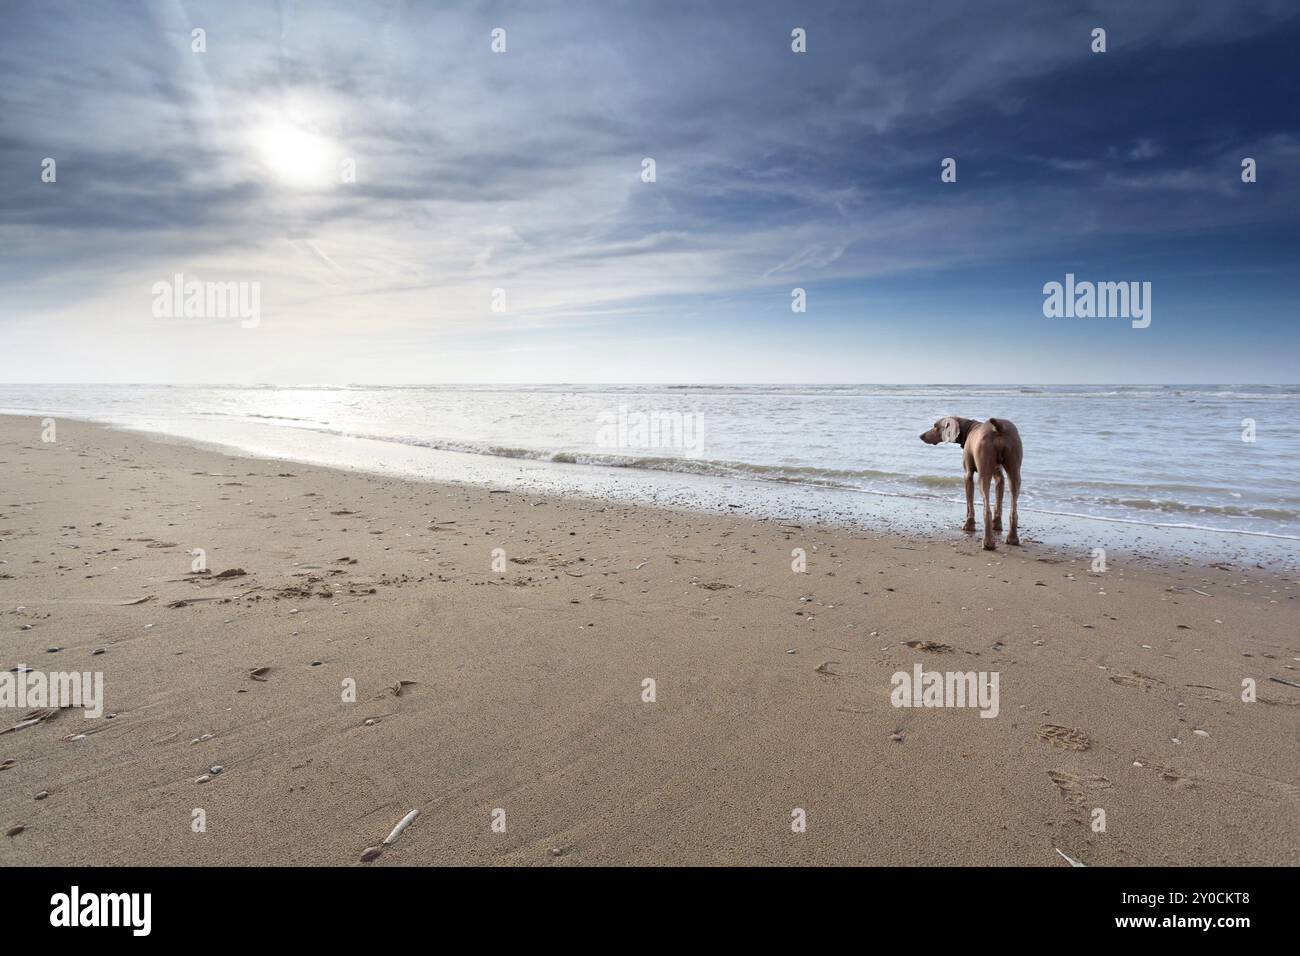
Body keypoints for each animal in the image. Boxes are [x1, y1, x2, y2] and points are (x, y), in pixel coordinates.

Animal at [920, 416, 1019, 548]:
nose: (921, 436)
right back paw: (1013, 538)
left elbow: (969, 503)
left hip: (983, 473)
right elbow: (998, 497)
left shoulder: (968, 474)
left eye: (936, 426)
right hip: (1014, 470)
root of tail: (998, 427)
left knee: (986, 509)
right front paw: (997, 525)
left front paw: (969, 525)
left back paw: (988, 543)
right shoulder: (998, 474)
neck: (969, 428)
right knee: (1014, 507)